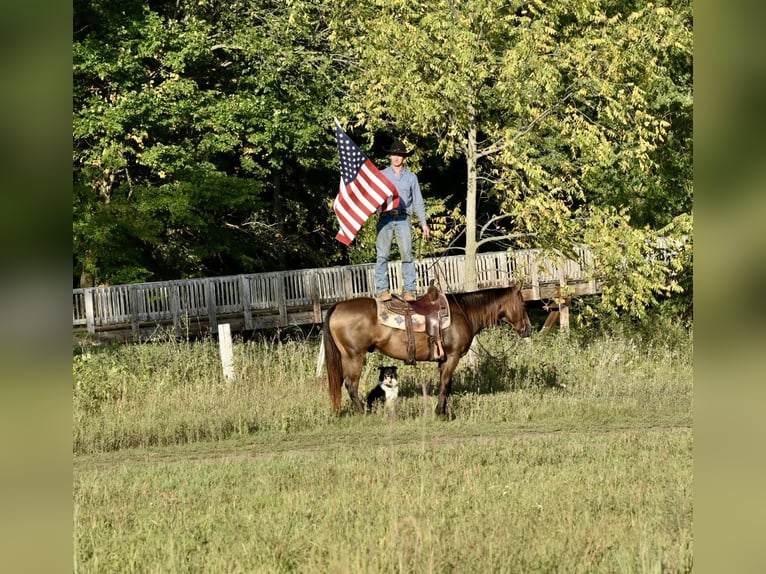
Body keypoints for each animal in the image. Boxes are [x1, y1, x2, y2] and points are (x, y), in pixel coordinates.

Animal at [320, 284, 532, 416]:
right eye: (523, 304)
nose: (528, 329)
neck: (464, 312)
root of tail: (337, 306)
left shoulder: (443, 359)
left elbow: (446, 384)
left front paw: (444, 410)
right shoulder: (452, 356)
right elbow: (445, 384)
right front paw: (441, 413)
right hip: (354, 355)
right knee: (351, 385)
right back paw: (363, 412)